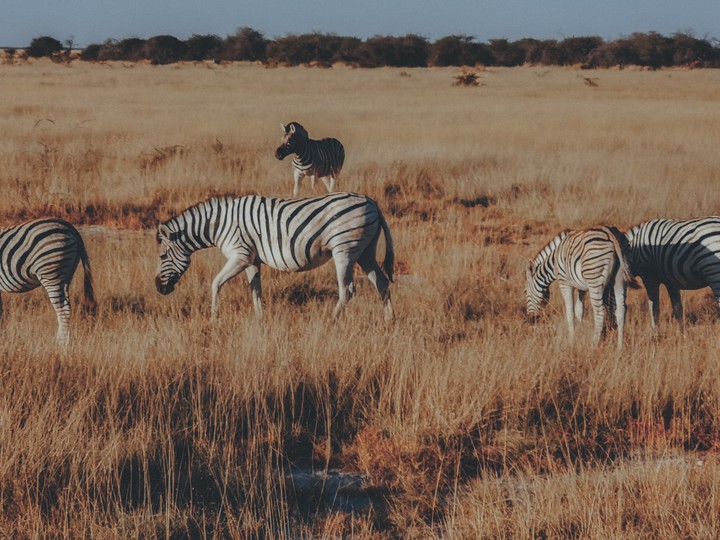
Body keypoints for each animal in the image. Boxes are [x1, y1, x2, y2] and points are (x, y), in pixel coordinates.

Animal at [0, 218, 96, 346]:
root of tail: (69, 226)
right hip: (66, 276)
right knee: (67, 307)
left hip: (51, 272)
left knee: (63, 309)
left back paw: (60, 344)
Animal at [155, 192, 394, 321]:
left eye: (162, 256)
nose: (159, 287)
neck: (219, 224)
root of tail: (371, 201)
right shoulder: (252, 259)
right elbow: (255, 290)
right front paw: (259, 319)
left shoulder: (240, 256)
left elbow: (215, 283)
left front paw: (214, 318)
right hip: (365, 252)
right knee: (382, 283)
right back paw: (389, 320)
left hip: (345, 249)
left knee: (347, 290)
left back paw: (331, 320)